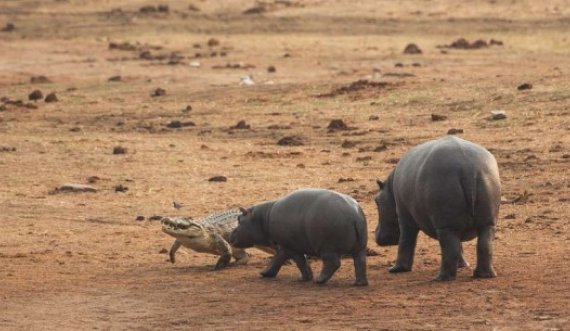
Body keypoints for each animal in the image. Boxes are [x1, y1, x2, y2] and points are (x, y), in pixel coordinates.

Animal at [229, 189, 366, 288]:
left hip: (328, 248)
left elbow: (299, 262)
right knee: (360, 262)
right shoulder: (286, 246)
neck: (263, 218)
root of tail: (354, 215)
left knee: (333, 263)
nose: (230, 234)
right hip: (360, 248)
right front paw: (264, 273)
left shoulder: (291, 248)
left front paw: (304, 278)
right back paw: (359, 283)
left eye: (239, 219)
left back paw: (319, 281)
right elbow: (279, 260)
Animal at [374, 136, 500, 282]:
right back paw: (484, 275)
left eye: (376, 200)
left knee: (450, 248)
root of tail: (467, 169)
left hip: (445, 224)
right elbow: (460, 245)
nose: (376, 234)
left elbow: (405, 242)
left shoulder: (404, 217)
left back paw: (440, 278)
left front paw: (395, 269)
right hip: (485, 219)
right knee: (484, 245)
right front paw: (462, 265)